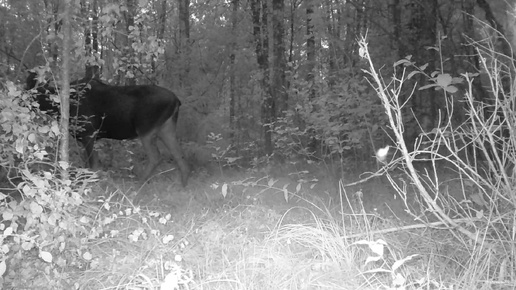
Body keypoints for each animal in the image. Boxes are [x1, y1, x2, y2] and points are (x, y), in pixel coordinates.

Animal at [25, 71, 189, 187]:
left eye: (32, 93)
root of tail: (177, 101)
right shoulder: (86, 138)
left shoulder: (89, 134)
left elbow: (93, 165)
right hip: (167, 128)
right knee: (179, 154)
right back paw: (183, 184)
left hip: (146, 129)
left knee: (156, 157)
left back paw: (139, 183)